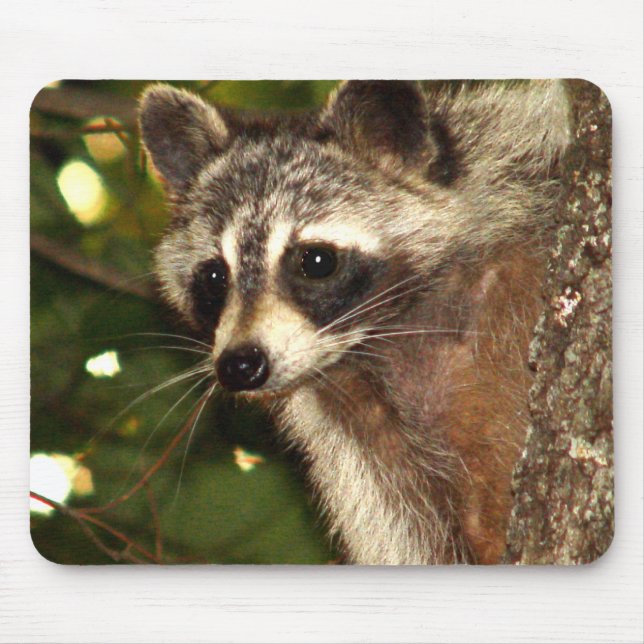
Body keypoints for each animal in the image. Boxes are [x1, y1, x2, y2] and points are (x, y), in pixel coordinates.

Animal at [139, 80, 571, 564]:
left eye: (316, 261)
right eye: (214, 278)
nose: (240, 364)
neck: (400, 324)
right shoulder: (360, 435)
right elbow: (414, 541)